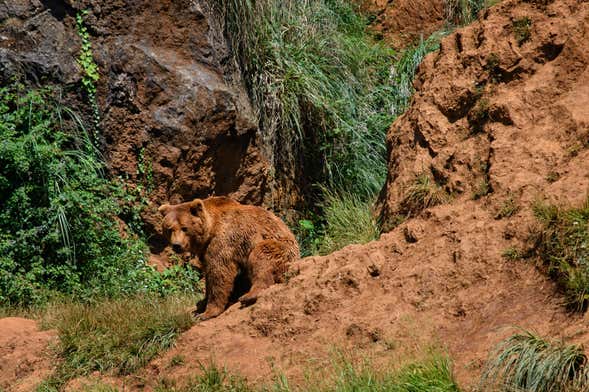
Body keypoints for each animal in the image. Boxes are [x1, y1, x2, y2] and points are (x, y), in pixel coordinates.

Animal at [157, 198, 298, 320]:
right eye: (169, 229)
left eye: (184, 228)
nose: (176, 245)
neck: (211, 228)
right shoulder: (205, 250)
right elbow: (209, 273)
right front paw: (201, 305)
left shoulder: (224, 240)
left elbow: (219, 274)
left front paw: (207, 313)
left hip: (280, 248)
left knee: (262, 257)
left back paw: (248, 296)